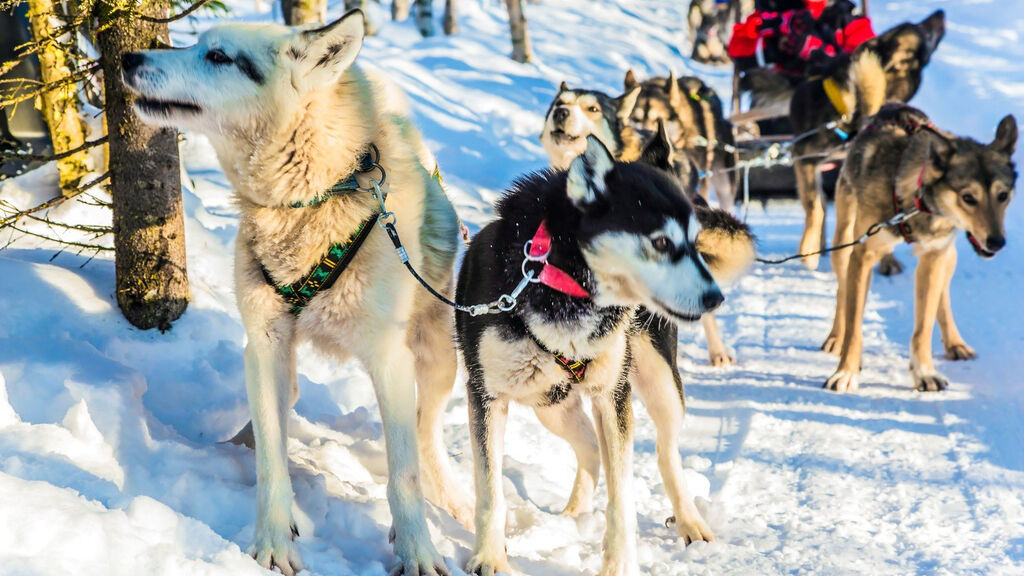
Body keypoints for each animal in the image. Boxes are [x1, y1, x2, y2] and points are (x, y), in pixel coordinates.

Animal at [122, 10, 468, 573]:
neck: (314, 197)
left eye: (218, 56)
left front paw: (417, 549)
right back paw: (238, 444)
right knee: (283, 409)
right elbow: (272, 463)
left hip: (437, 356)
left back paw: (450, 500)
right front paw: (271, 542)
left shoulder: (390, 361)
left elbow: (404, 474)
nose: (128, 58)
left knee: (425, 432)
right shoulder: (265, 343)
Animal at [454, 135, 729, 573]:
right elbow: (490, 489)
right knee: (589, 446)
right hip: (549, 403)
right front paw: (489, 557)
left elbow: (623, 499)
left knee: (665, 452)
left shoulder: (612, 395)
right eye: (661, 242)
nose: (715, 297)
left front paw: (619, 564)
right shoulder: (486, 396)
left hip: (661, 386)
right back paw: (573, 514)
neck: (555, 277)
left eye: (693, 242)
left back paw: (689, 520)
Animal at [819, 101, 1011, 389]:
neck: (915, 198)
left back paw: (955, 343)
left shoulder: (933, 256)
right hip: (843, 244)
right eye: (968, 197)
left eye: (1003, 196)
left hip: (947, 257)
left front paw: (924, 372)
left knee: (942, 299)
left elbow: (924, 326)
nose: (997, 241)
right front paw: (846, 372)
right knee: (843, 293)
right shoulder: (863, 255)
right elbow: (855, 325)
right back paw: (835, 337)